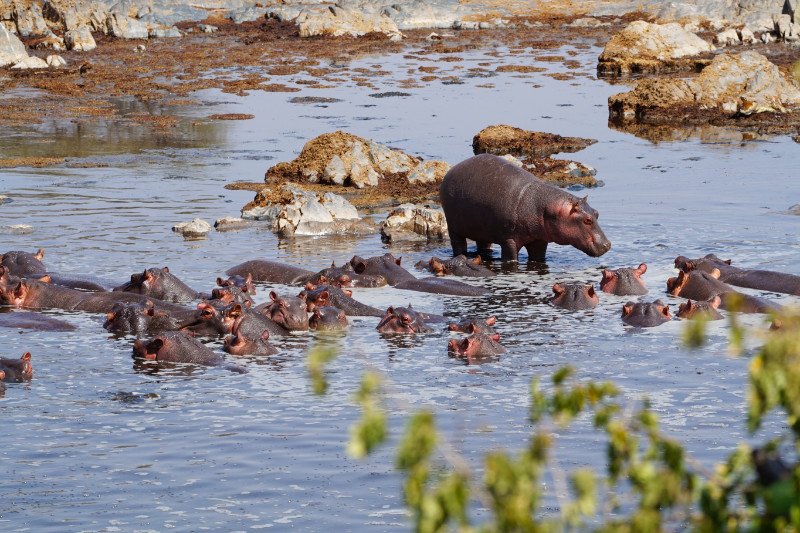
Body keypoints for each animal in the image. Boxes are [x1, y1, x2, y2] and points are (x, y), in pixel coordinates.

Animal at [439, 154, 611, 261]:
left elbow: (538, 257)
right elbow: (510, 259)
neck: (543, 206)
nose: (607, 245)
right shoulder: (509, 239)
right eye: (587, 220)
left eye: (597, 213)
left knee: (484, 245)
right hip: (453, 227)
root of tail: (451, 170)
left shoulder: (539, 240)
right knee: (458, 245)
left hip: (482, 230)